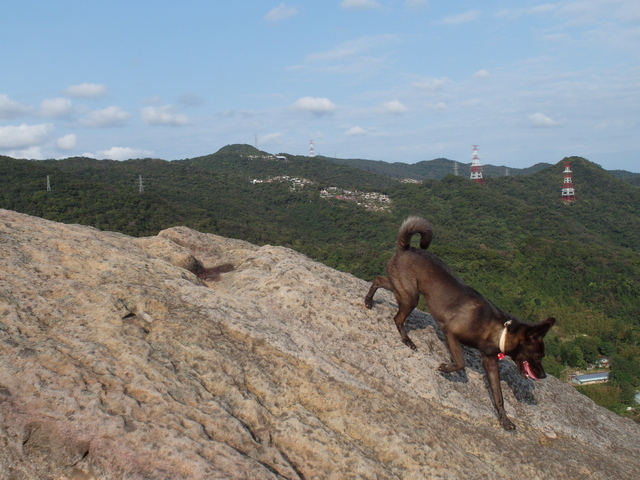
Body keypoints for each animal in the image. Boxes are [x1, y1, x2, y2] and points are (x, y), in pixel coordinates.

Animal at [364, 216, 556, 430]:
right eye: (538, 356)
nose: (543, 375)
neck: (498, 331)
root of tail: (406, 248)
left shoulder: (490, 363)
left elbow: (498, 395)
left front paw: (504, 419)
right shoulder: (450, 333)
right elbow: (461, 363)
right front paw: (445, 368)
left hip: (402, 289)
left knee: (378, 279)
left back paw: (369, 300)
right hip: (410, 297)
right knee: (397, 318)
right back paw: (407, 340)